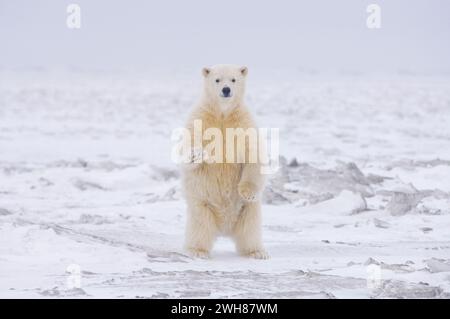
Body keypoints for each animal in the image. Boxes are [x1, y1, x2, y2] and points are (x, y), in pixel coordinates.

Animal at [181, 64, 268, 260]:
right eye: (217, 80)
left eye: (234, 79)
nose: (226, 90)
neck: (222, 113)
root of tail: (224, 228)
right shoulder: (200, 118)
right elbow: (188, 143)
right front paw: (197, 154)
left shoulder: (243, 123)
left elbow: (252, 154)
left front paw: (247, 192)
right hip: (202, 204)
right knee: (200, 226)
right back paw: (197, 251)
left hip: (248, 211)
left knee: (250, 229)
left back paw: (257, 252)